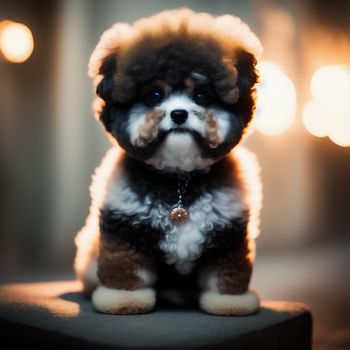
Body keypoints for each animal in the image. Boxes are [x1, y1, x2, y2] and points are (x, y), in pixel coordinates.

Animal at [74, 8, 262, 316]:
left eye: (201, 95)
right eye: (154, 95)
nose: (178, 114)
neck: (179, 180)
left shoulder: (228, 237)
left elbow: (228, 275)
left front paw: (230, 303)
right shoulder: (125, 232)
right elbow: (125, 271)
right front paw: (123, 301)